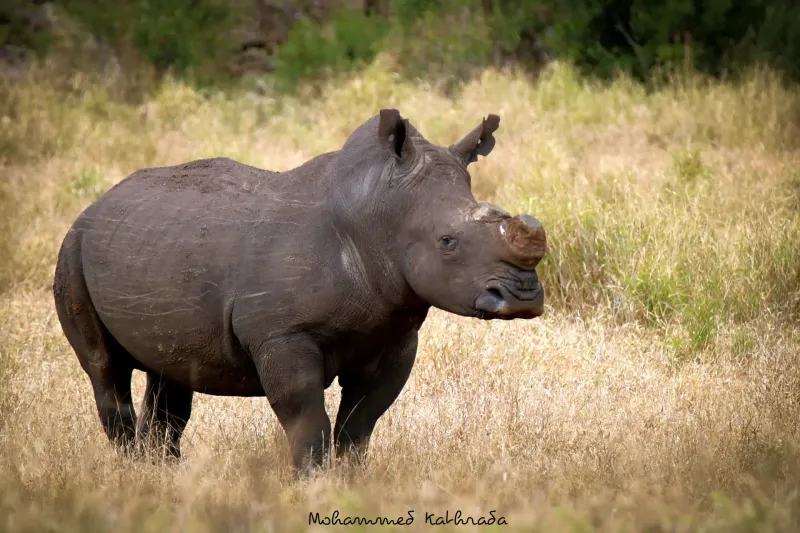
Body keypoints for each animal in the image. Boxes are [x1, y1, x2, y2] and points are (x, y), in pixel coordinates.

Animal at [53, 109, 547, 475]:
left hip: (151, 247)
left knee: (170, 373)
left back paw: (165, 474)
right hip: (73, 248)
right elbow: (307, 417)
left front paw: (351, 481)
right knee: (105, 369)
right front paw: (312, 483)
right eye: (447, 241)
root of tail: (99, 201)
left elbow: (361, 421)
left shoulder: (395, 337)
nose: (523, 298)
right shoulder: (283, 334)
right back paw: (132, 472)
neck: (379, 215)